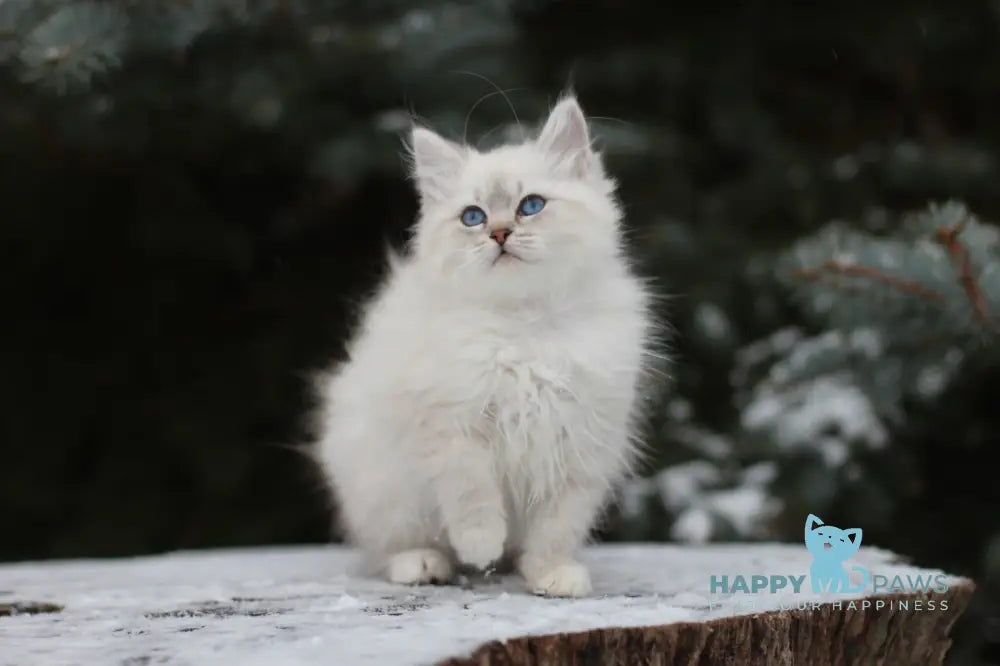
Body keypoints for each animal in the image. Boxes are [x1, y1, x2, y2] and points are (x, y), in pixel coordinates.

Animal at [316, 94, 660, 596]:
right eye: (473, 217)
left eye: (530, 206)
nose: (498, 233)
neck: (525, 325)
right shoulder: (450, 424)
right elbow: (471, 490)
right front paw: (480, 547)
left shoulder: (580, 441)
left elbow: (557, 525)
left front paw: (552, 573)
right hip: (382, 488)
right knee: (391, 547)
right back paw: (426, 564)